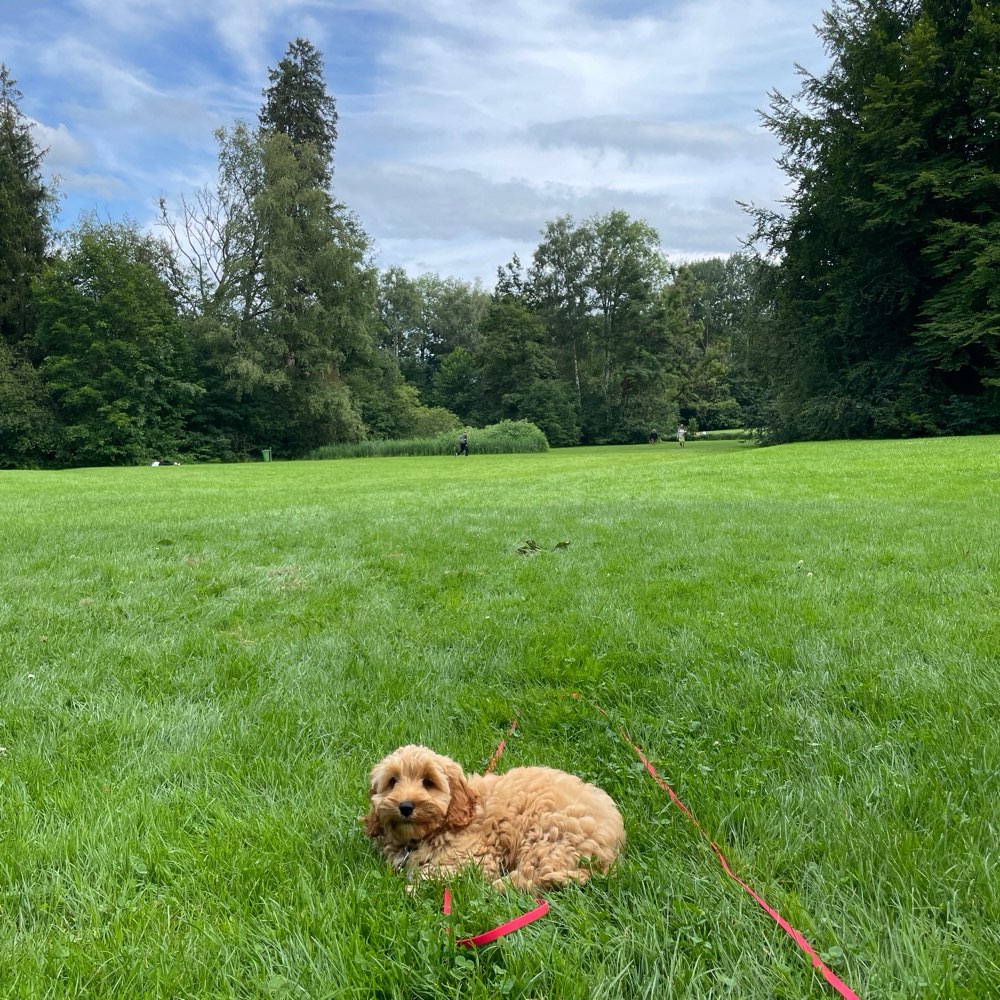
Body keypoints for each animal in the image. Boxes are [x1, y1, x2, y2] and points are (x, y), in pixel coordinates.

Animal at [364, 744, 628, 892]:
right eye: (392, 782)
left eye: (428, 782)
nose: (405, 806)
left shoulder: (475, 857)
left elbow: (433, 873)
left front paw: (410, 888)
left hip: (549, 835)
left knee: (533, 875)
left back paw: (498, 888)